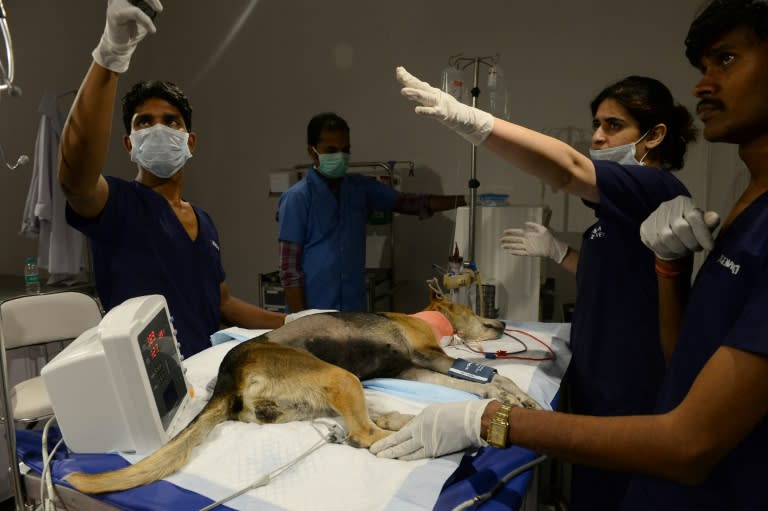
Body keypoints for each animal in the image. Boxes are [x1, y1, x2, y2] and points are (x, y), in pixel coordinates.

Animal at [69, 288, 544, 492]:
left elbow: (477, 385)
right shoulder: (430, 358)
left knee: (362, 426)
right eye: (477, 310)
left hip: (311, 395)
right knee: (365, 436)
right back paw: (420, 437)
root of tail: (228, 376)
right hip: (339, 376)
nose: (503, 322)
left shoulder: (417, 368)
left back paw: (408, 421)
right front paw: (519, 398)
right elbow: (493, 377)